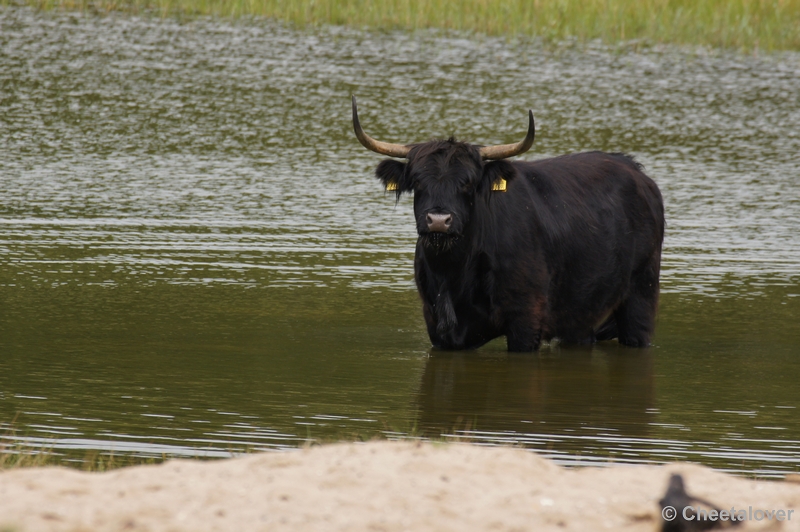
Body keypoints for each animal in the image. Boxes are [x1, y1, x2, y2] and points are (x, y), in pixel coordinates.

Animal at [354, 96, 664, 354]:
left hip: (641, 296)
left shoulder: (526, 319)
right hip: (581, 313)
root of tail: (635, 171)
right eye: (417, 181)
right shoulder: (438, 326)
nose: (439, 221)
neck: (453, 273)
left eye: (468, 183)